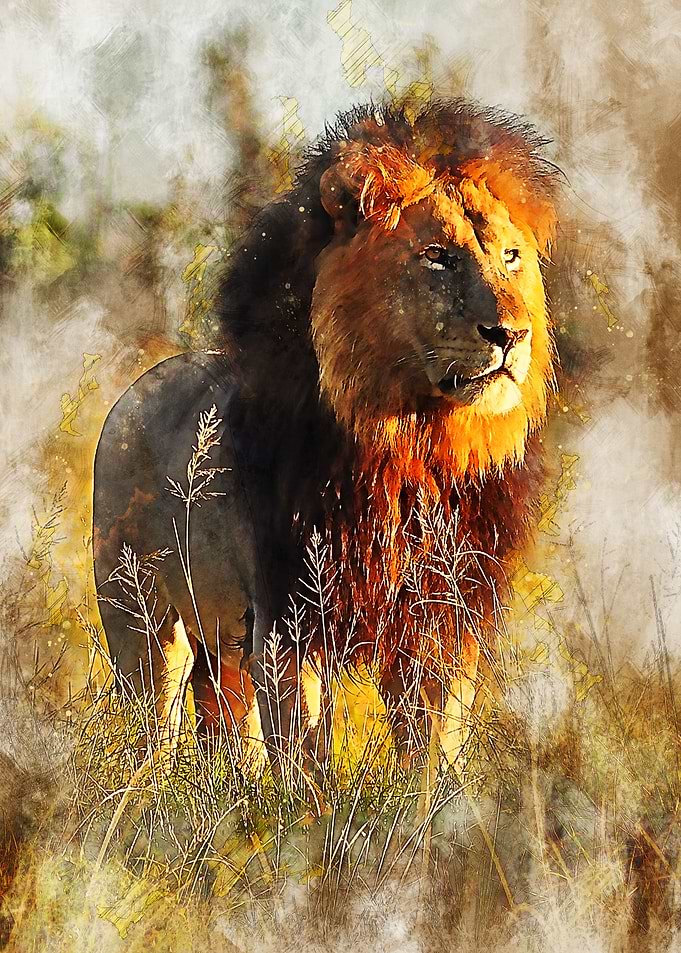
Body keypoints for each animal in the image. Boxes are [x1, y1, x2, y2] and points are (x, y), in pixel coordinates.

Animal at [93, 99, 559, 764]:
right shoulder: (286, 620)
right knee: (154, 726)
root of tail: (132, 391)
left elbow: (431, 755)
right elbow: (308, 756)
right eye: (438, 256)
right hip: (144, 624)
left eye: (510, 257)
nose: (512, 335)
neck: (413, 443)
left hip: (221, 647)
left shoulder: (445, 622)